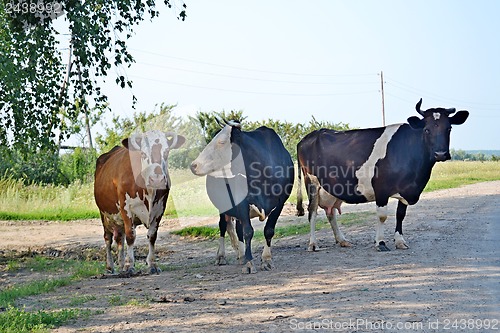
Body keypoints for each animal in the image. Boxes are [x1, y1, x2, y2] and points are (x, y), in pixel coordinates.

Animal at [94, 130, 185, 272]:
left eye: (166, 152)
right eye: (143, 153)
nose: (157, 179)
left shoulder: (159, 209)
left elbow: (152, 236)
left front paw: (152, 264)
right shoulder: (126, 208)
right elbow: (131, 236)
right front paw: (129, 265)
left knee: (119, 238)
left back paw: (120, 263)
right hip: (104, 214)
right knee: (108, 238)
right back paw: (110, 266)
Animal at [190, 120, 292, 272]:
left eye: (221, 142)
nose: (194, 165)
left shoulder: (280, 202)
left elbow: (268, 230)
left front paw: (266, 259)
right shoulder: (242, 202)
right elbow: (248, 232)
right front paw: (249, 262)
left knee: (237, 229)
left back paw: (241, 255)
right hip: (223, 206)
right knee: (223, 226)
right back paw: (222, 256)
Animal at [296, 98, 468, 249]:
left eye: (449, 129)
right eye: (427, 129)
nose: (441, 154)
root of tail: (309, 136)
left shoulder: (405, 189)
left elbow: (400, 214)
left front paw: (400, 241)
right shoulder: (381, 188)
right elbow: (382, 215)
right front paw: (380, 242)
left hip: (330, 187)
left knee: (330, 212)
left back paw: (342, 240)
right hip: (311, 182)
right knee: (312, 212)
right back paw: (313, 244)